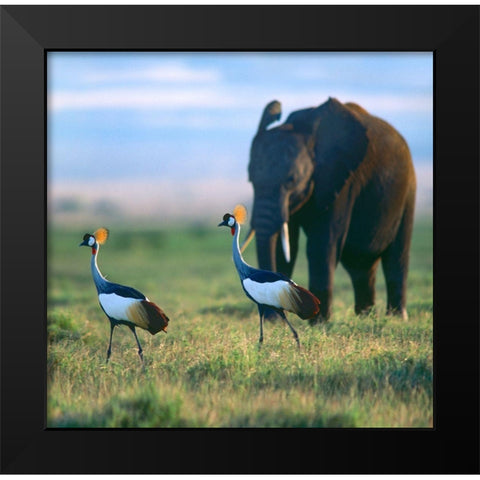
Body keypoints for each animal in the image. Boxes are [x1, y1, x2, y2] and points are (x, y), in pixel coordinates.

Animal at [244, 97, 416, 322]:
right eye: (251, 180)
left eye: (291, 180)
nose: (271, 317)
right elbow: (287, 245)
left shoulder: (341, 179)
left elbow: (322, 244)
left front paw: (319, 323)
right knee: (360, 265)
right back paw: (365, 317)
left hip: (407, 192)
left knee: (396, 256)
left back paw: (396, 318)